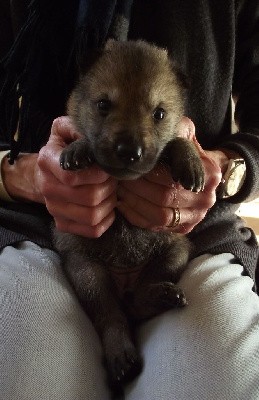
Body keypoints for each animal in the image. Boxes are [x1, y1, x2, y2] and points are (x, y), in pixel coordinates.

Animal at [53, 39, 206, 390]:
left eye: (159, 113)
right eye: (103, 105)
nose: (129, 151)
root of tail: (124, 283)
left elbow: (175, 142)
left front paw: (191, 161)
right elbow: (84, 141)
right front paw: (77, 149)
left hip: (173, 252)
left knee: (137, 301)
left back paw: (160, 296)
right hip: (87, 271)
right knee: (112, 316)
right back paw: (121, 353)